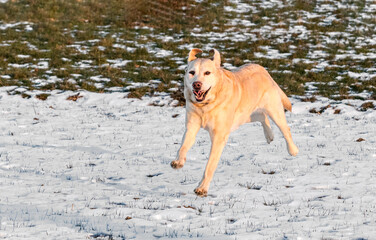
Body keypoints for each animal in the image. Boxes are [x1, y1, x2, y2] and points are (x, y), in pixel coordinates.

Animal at [171, 48, 300, 197]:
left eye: (207, 73)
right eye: (192, 72)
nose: (196, 84)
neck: (206, 106)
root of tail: (262, 69)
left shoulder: (219, 137)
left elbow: (210, 165)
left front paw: (202, 188)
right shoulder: (191, 127)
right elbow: (183, 147)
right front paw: (178, 162)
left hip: (274, 110)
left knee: (285, 129)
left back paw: (293, 150)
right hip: (245, 115)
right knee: (262, 117)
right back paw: (269, 135)